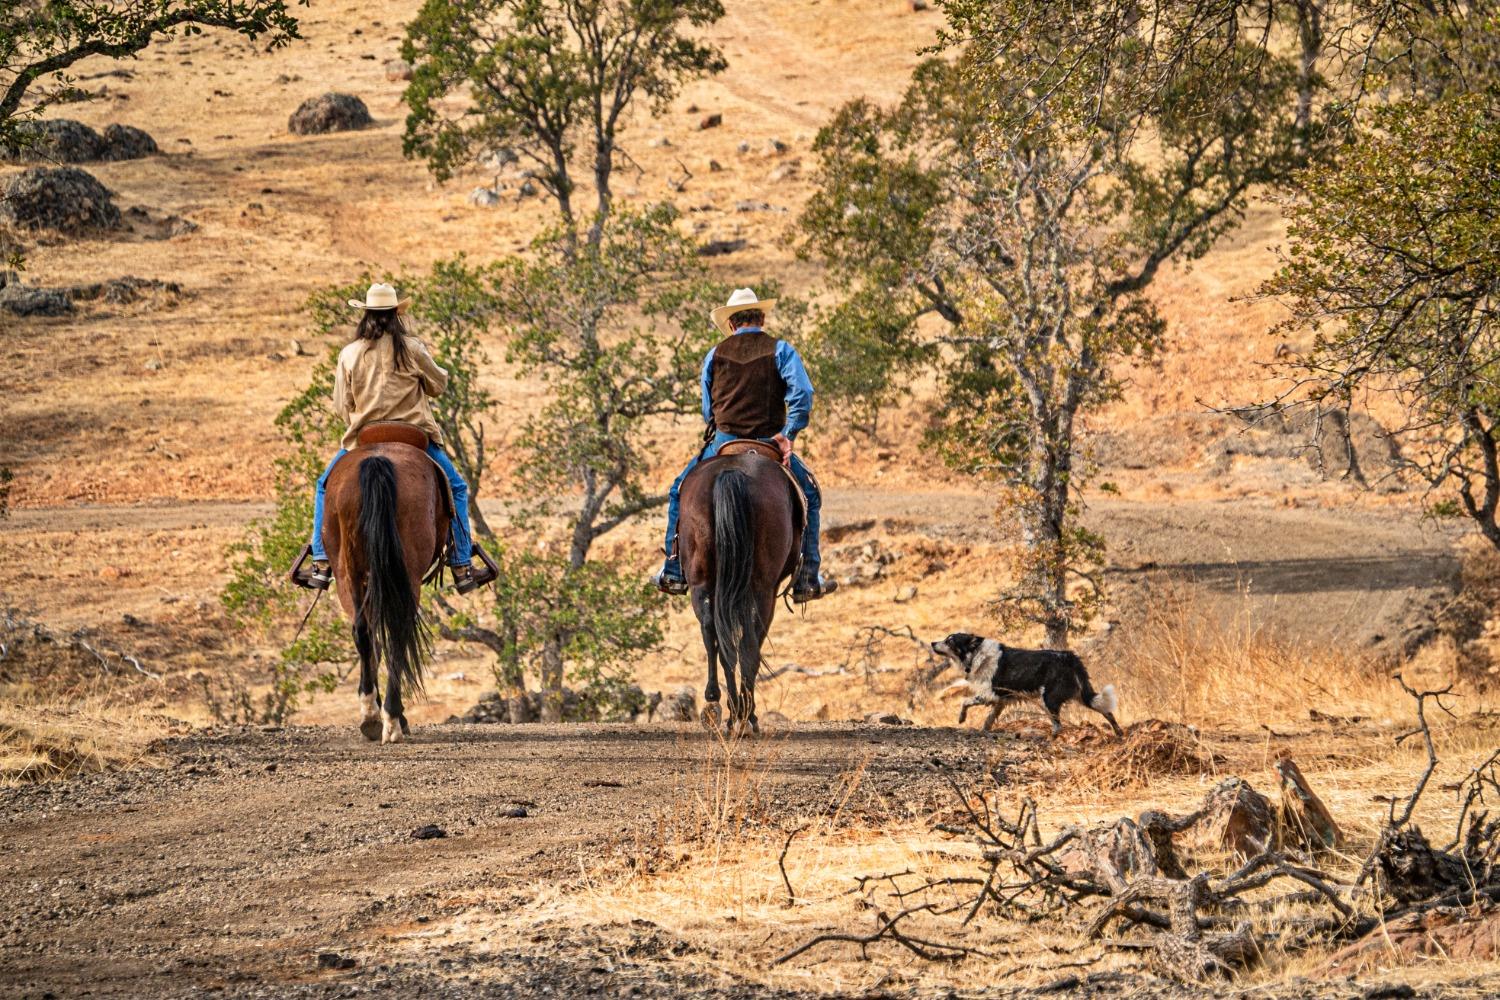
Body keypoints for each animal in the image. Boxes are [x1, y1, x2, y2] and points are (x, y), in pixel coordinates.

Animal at [319, 431, 447, 743]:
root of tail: (376, 461)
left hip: (348, 572)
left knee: (364, 631)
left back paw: (371, 717)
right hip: (405, 575)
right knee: (396, 633)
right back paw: (391, 720)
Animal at [678, 446, 804, 734]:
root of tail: (732, 471)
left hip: (702, 580)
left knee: (714, 633)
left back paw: (719, 705)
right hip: (762, 588)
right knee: (749, 642)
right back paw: (746, 715)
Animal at [924, 638, 1128, 740]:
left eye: (949, 641)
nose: (933, 643)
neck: (975, 654)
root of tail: (1069, 657)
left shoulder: (990, 694)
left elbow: (965, 702)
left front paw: (961, 718)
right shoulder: (1001, 699)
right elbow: (989, 719)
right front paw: (984, 730)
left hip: (1049, 699)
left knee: (1058, 725)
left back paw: (1049, 738)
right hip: (1082, 696)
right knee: (1108, 712)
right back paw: (1119, 734)